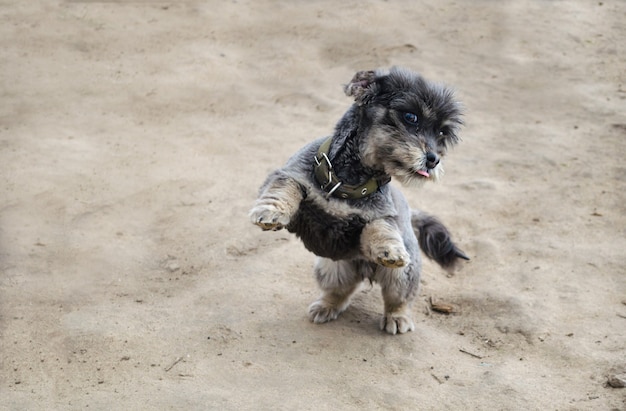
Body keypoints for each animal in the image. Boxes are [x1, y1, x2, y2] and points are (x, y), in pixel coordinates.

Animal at [246, 67, 466, 334]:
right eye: (410, 116)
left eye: (442, 132)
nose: (433, 159)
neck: (347, 182)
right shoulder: (290, 176)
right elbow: (284, 189)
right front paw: (270, 211)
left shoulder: (381, 216)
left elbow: (381, 228)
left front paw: (391, 249)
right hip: (331, 268)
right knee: (341, 291)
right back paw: (327, 306)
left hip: (402, 277)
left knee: (398, 299)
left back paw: (397, 317)